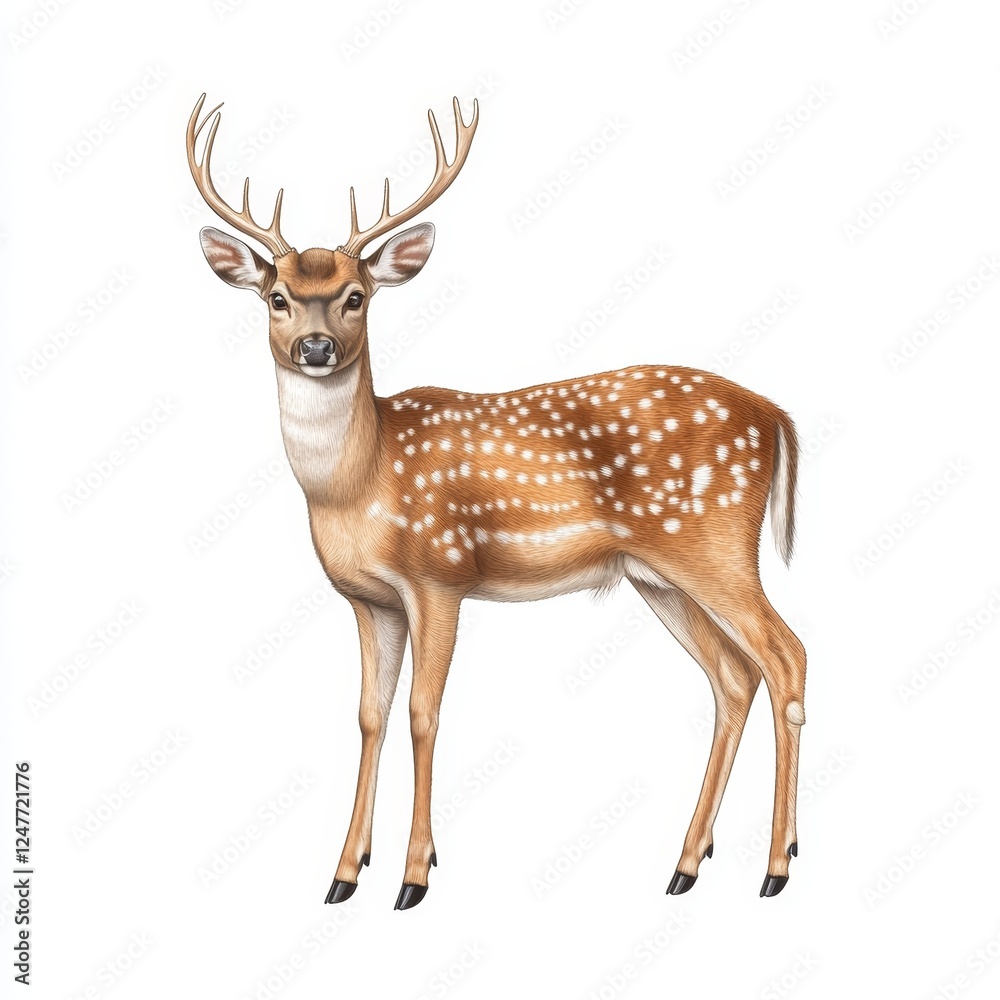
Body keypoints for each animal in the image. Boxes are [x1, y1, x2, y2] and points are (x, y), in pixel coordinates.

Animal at [187, 93, 807, 910]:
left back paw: (776, 866)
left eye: (356, 296)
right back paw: (685, 865)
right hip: (658, 576)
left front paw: (415, 876)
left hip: (716, 543)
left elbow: (423, 714)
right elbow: (369, 716)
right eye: (277, 296)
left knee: (786, 657)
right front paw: (344, 873)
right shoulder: (368, 600)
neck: (360, 485)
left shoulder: (439, 577)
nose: (315, 349)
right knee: (734, 680)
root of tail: (776, 414)